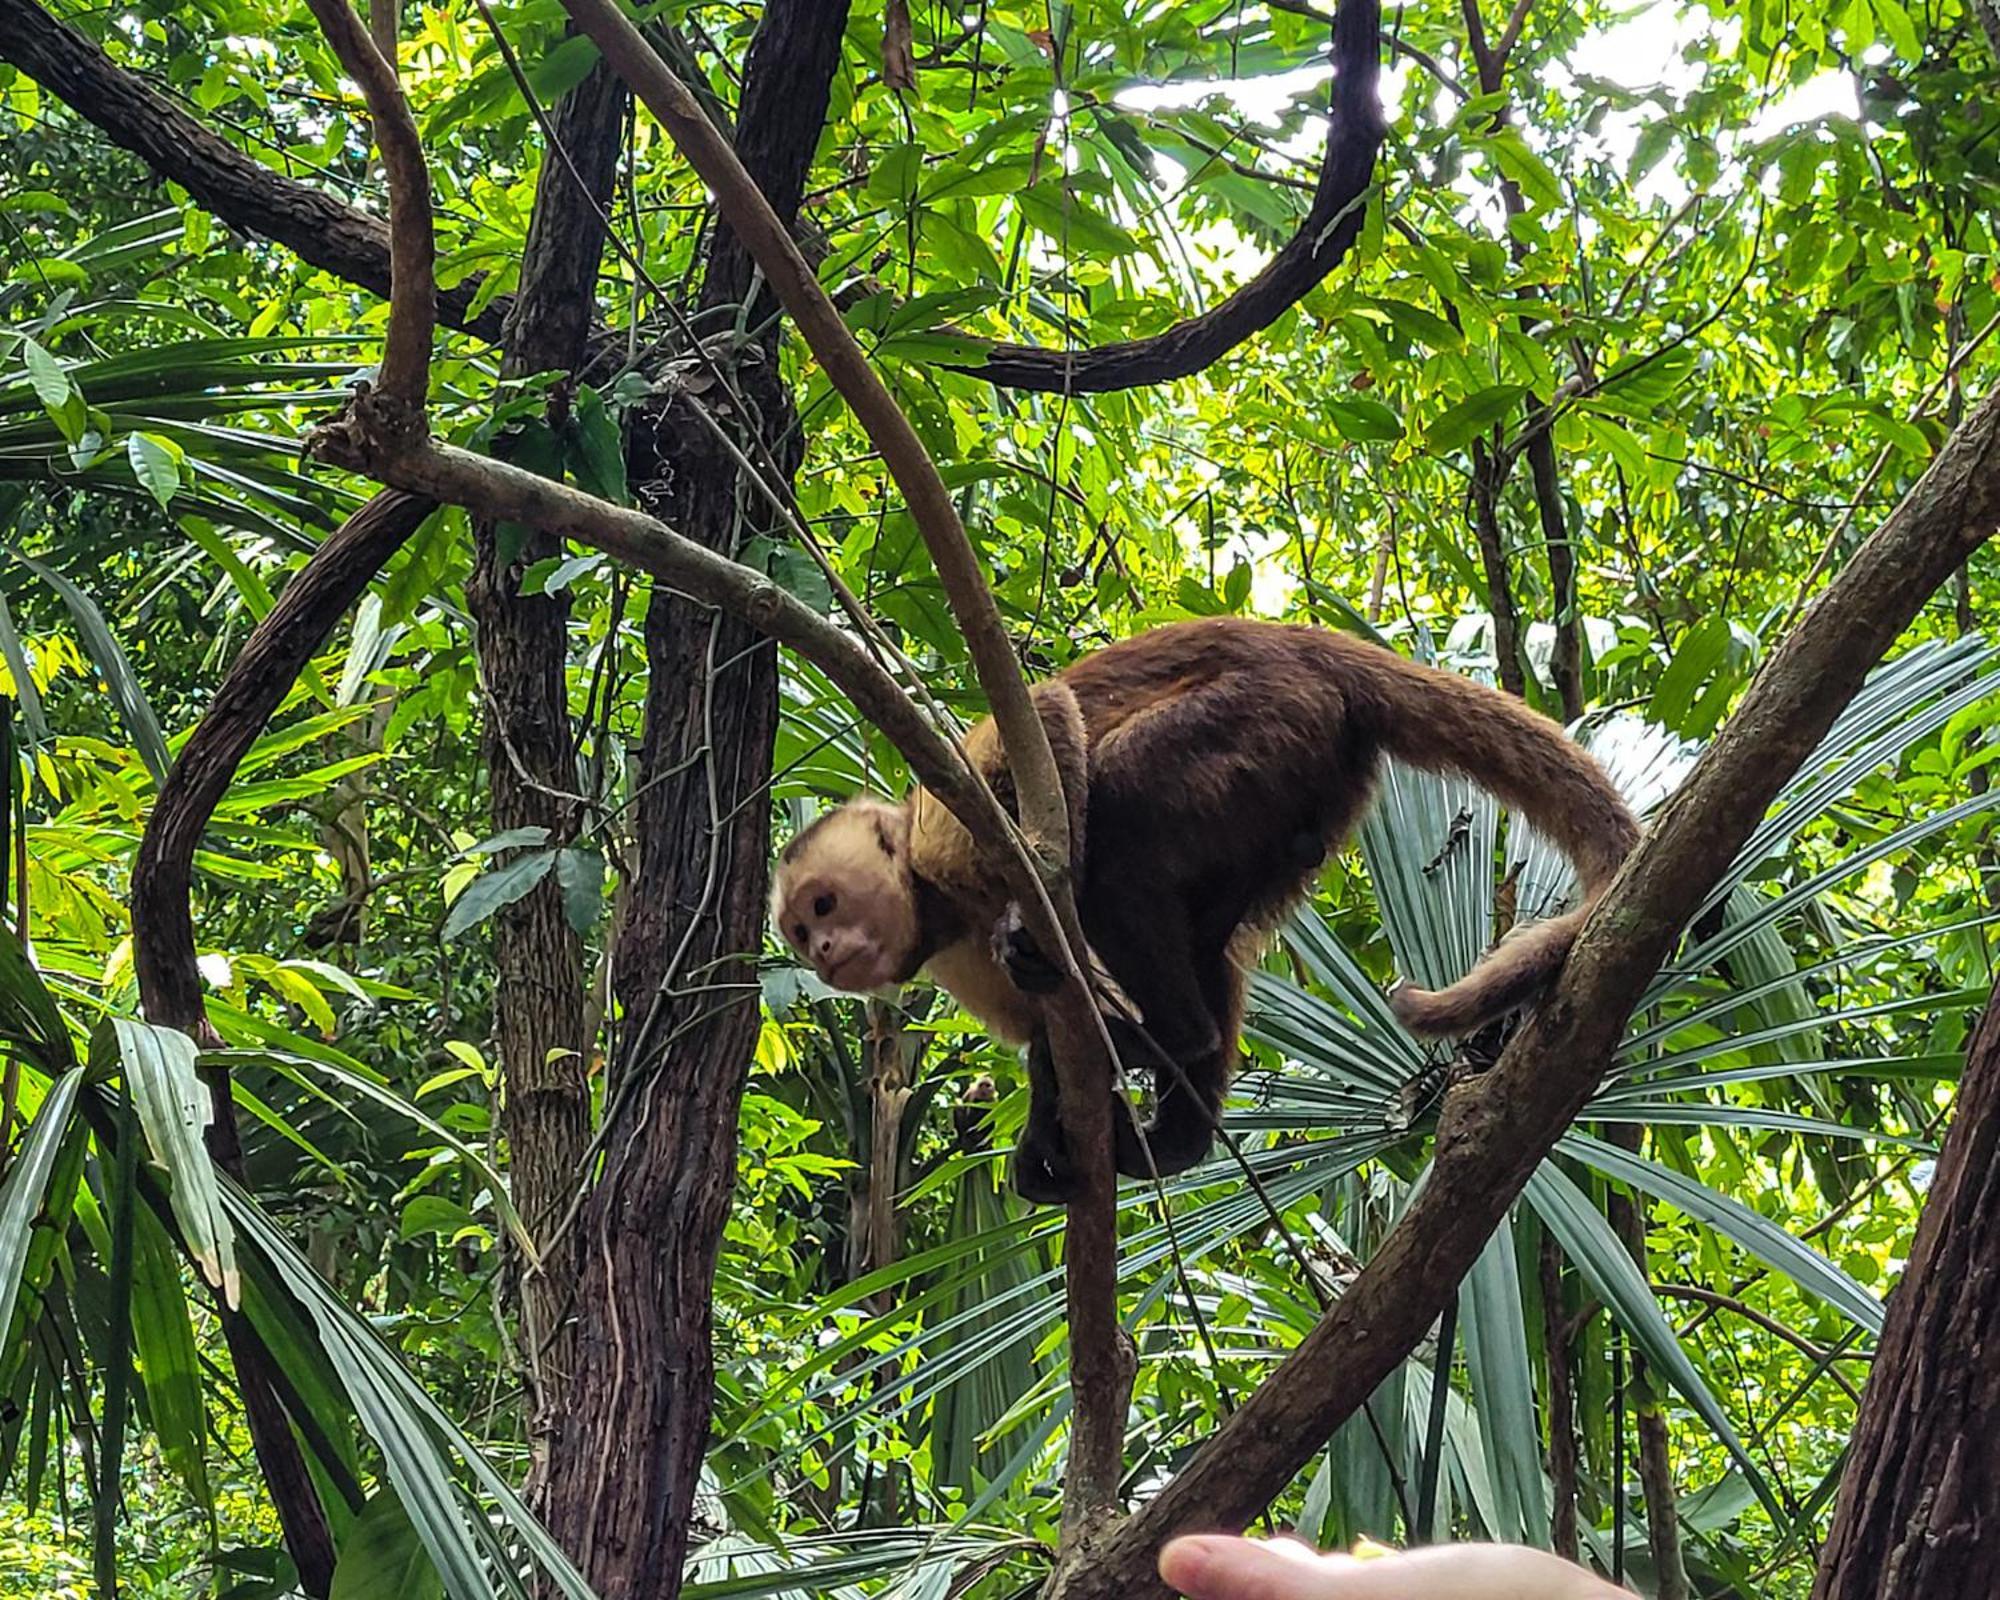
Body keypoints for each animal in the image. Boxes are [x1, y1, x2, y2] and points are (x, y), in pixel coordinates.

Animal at [768, 612, 1640, 1200]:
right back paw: (1176, 1121)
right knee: (1205, 938)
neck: (939, 899)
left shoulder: (945, 827)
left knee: (1122, 826)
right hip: (1306, 783)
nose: (823, 955)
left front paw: (1038, 938)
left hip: (1262, 714)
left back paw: (1163, 1034)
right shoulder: (948, 952)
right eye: (801, 931)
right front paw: (1051, 1122)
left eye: (824, 903)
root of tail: (1300, 643)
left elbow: (1048, 720)